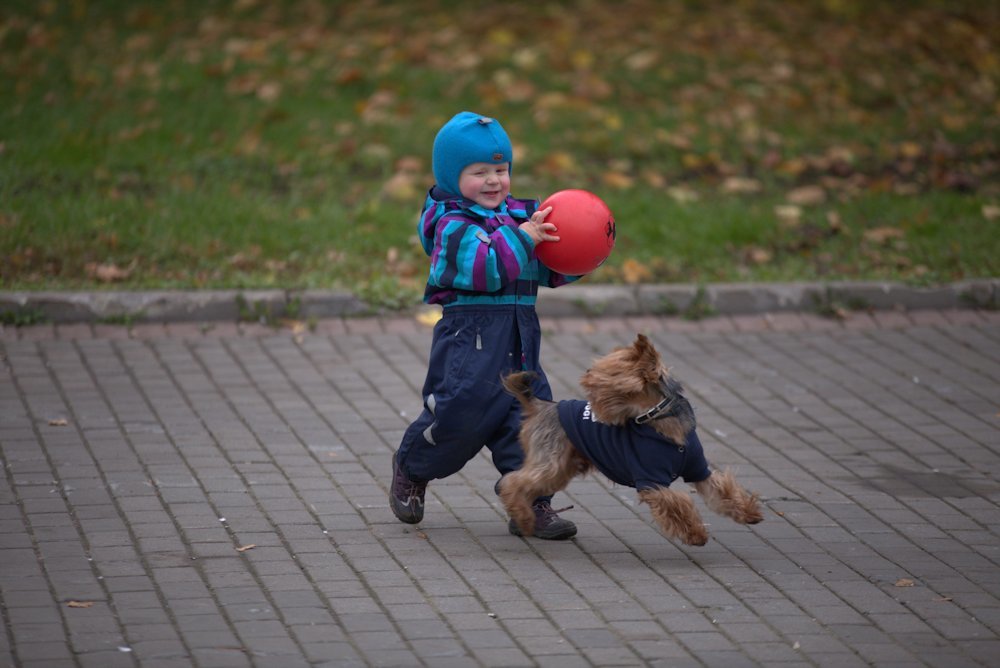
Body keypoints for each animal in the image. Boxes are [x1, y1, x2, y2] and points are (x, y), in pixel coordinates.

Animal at [500, 332, 764, 544]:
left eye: (601, 377)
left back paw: (527, 516)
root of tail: (540, 405)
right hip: (550, 462)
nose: (586, 378)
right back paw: (524, 518)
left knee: (524, 485)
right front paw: (696, 534)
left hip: (560, 468)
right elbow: (678, 503)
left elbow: (722, 490)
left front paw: (748, 512)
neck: (659, 419)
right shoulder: (651, 481)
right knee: (511, 482)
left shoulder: (699, 472)